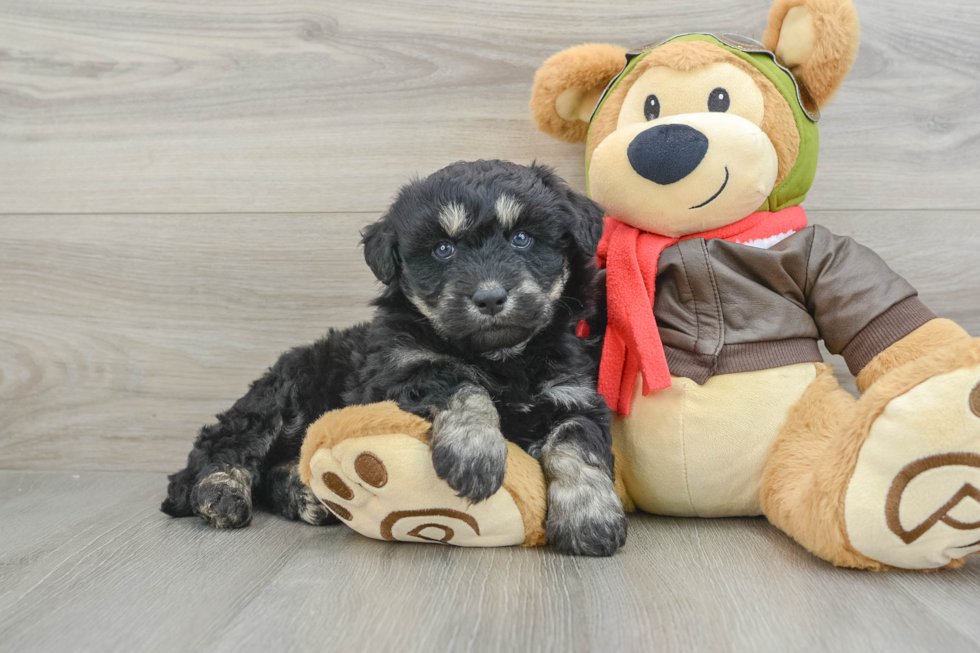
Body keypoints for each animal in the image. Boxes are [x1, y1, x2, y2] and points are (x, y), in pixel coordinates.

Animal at [158, 158, 624, 556]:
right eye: (442, 249)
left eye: (522, 238)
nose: (490, 297)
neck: (500, 356)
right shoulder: (401, 372)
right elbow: (461, 382)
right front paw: (475, 452)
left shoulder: (573, 394)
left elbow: (576, 443)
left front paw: (591, 517)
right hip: (282, 399)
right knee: (220, 447)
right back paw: (221, 493)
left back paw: (309, 495)